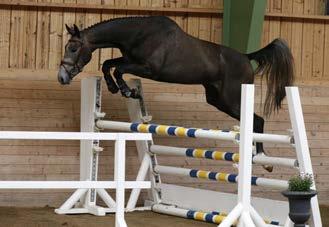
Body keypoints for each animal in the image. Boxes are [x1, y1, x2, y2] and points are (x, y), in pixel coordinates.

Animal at [57, 16, 294, 172]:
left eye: (73, 48)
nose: (62, 77)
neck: (139, 33)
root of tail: (246, 57)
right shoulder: (130, 60)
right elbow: (109, 64)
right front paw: (117, 88)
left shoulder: (148, 68)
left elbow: (117, 69)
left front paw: (127, 90)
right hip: (218, 100)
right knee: (252, 120)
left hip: (232, 98)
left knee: (258, 120)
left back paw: (264, 160)